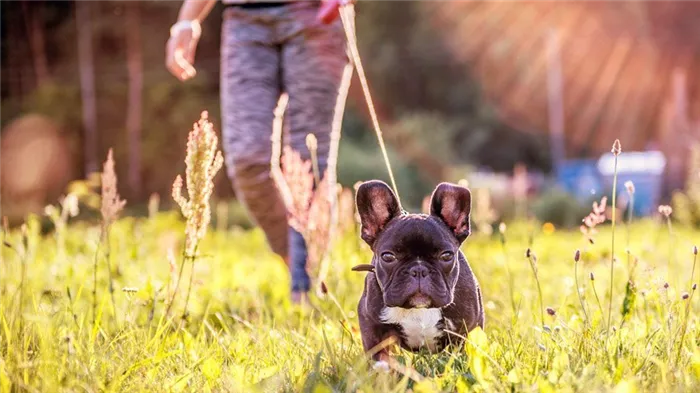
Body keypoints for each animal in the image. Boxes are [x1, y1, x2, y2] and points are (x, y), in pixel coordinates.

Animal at [352, 180, 484, 362]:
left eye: (446, 255)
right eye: (388, 257)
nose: (419, 270)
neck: (419, 310)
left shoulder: (466, 329)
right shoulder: (371, 325)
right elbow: (379, 354)